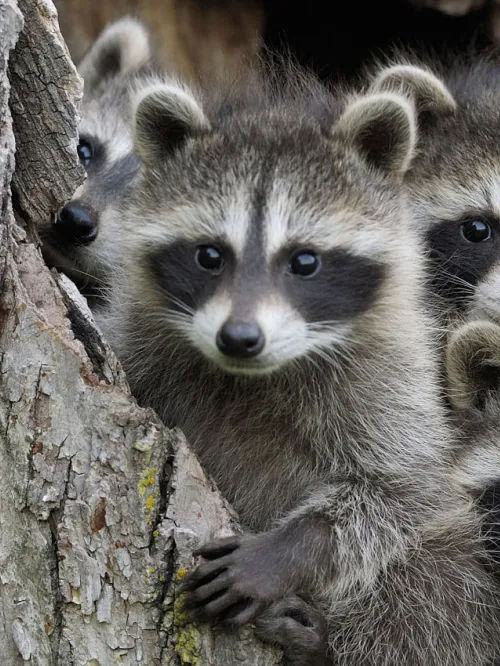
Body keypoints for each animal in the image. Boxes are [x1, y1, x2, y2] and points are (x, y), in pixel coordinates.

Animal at [96, 74, 500, 664]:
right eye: (209, 255)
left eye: (305, 261)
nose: (240, 338)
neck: (255, 374)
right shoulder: (140, 336)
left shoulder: (394, 379)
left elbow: (400, 492)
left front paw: (282, 553)